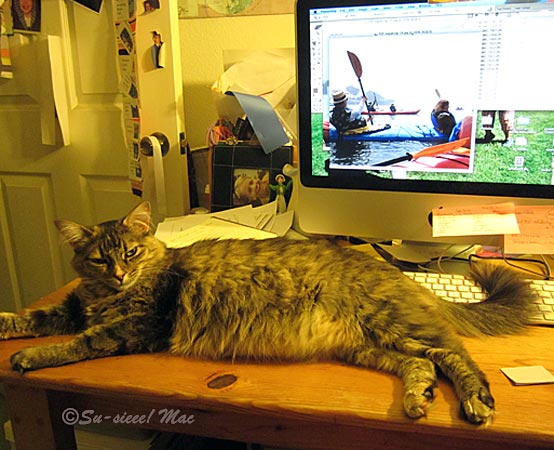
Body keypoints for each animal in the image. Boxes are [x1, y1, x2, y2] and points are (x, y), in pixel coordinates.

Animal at [0, 202, 536, 426]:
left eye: (131, 253)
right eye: (99, 259)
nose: (119, 275)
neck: (105, 297)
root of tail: (395, 268)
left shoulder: (139, 324)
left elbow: (77, 342)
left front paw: (29, 358)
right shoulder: (75, 306)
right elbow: (34, 318)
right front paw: (12, 326)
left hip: (393, 326)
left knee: (457, 358)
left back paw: (476, 402)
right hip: (371, 345)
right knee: (423, 364)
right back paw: (417, 399)